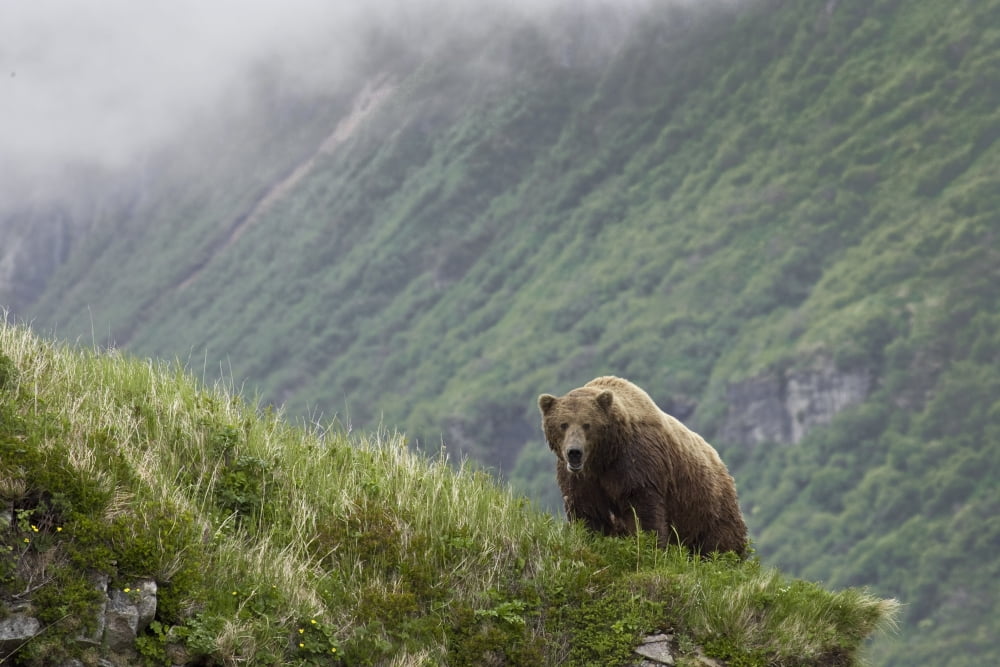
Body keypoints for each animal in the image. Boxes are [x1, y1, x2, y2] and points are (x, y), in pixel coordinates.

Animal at [538, 376, 748, 557]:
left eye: (587, 424)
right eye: (563, 424)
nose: (574, 452)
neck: (604, 458)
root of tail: (721, 463)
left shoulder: (636, 465)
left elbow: (643, 512)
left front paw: (649, 547)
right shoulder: (583, 481)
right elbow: (587, 514)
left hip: (705, 505)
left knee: (721, 541)